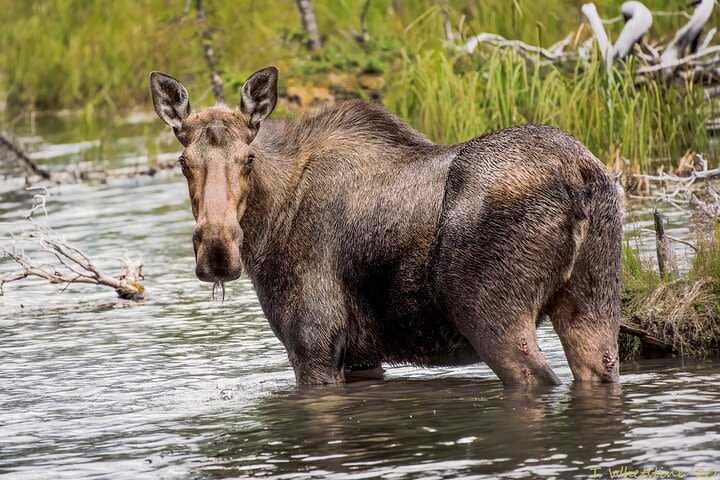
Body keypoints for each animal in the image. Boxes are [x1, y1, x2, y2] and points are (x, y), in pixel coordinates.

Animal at [149, 65, 620, 386]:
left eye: (248, 158)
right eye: (183, 162)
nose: (217, 249)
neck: (269, 225)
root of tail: (579, 176)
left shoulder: (314, 345)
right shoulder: (360, 357)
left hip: (494, 318)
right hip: (593, 304)